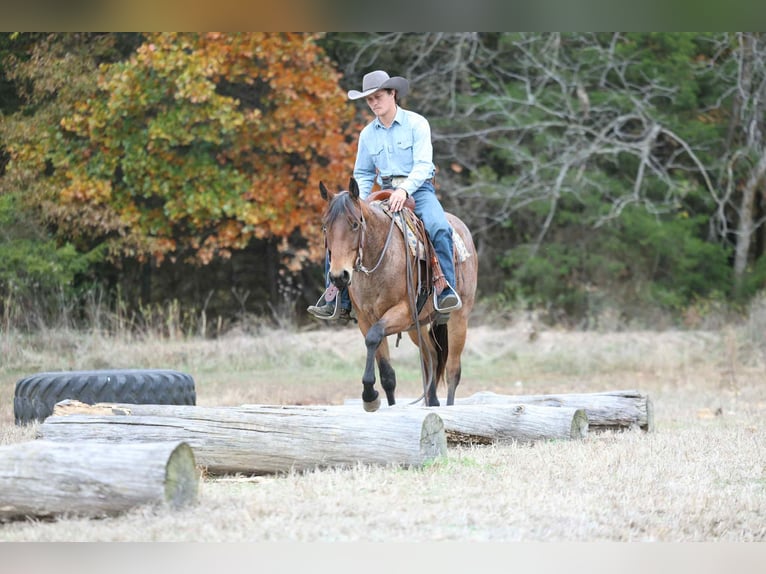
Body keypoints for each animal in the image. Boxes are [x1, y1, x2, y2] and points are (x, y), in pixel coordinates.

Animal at [318, 176, 478, 411]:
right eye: (325, 227)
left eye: (355, 224)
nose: (339, 276)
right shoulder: (366, 319)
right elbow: (386, 373)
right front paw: (375, 398)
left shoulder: (402, 311)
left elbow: (374, 337)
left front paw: (369, 395)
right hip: (416, 326)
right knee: (431, 358)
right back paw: (432, 402)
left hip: (459, 319)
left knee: (452, 371)